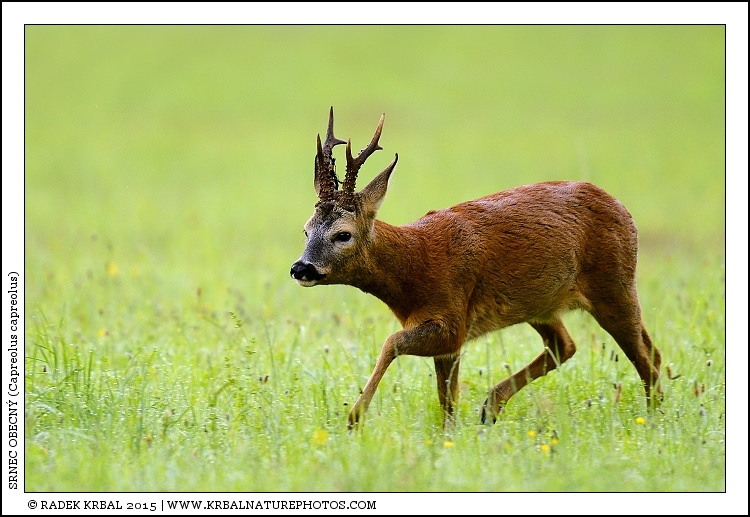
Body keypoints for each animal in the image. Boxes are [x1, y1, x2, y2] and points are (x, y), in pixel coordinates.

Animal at [290, 107, 662, 429]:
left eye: (343, 234)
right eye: (306, 230)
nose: (301, 268)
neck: (414, 265)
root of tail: (623, 209)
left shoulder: (452, 318)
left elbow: (391, 344)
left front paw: (354, 419)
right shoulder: (449, 338)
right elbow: (447, 401)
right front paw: (448, 439)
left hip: (614, 283)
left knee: (648, 357)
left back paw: (652, 420)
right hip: (542, 304)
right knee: (568, 345)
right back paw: (491, 406)